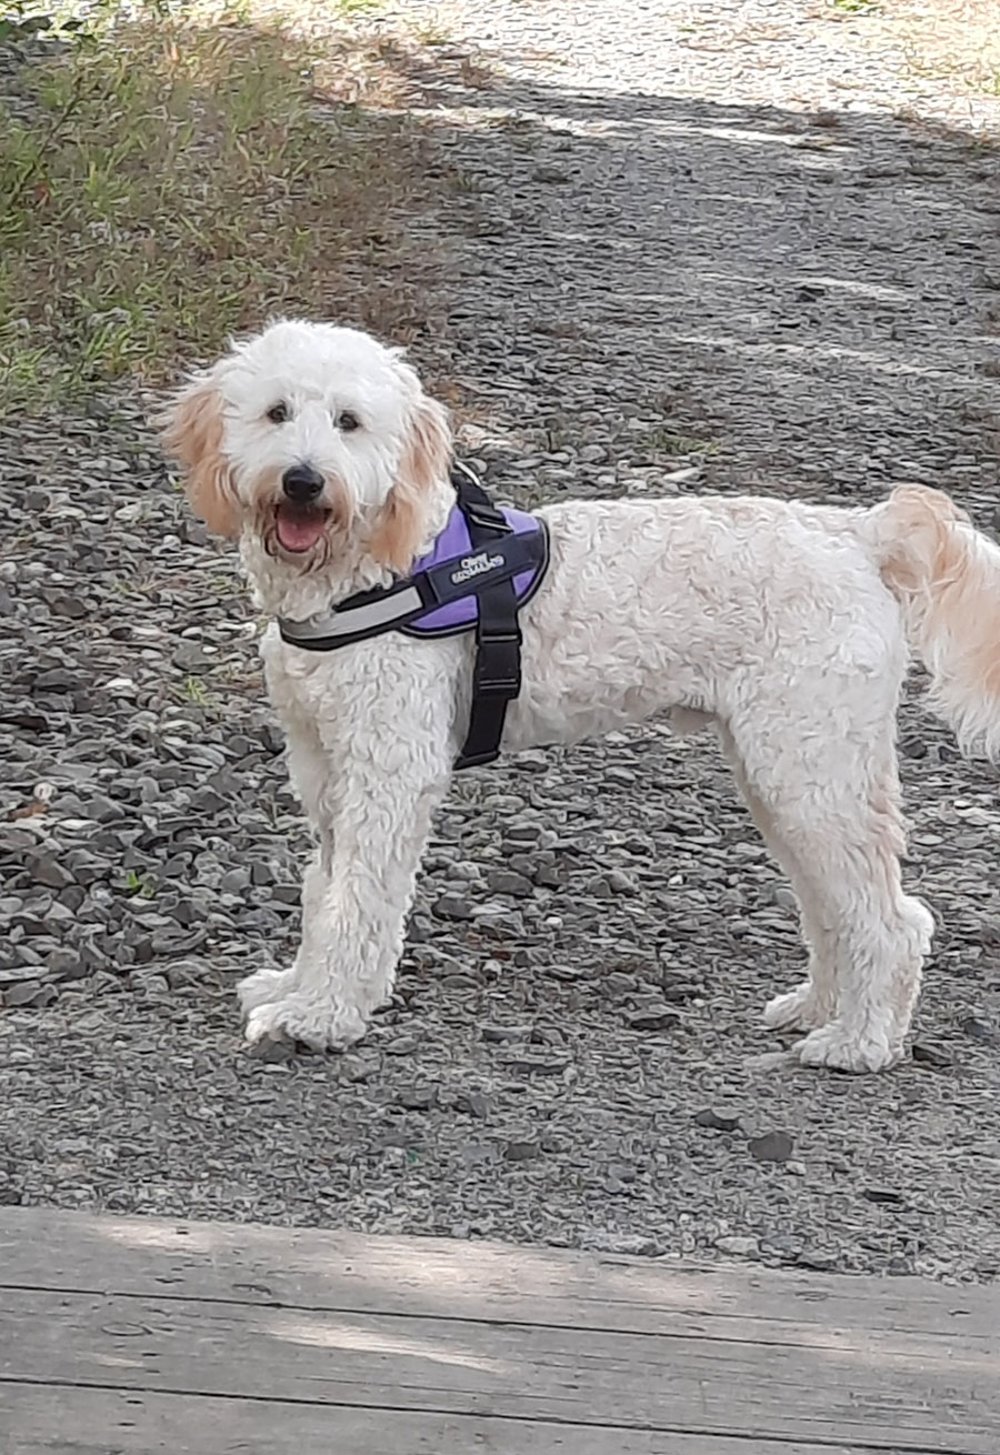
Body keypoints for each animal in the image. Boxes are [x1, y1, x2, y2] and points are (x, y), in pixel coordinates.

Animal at [160, 318, 1000, 1070]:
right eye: (276, 412)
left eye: (349, 423)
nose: (304, 480)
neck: (372, 571)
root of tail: (860, 535)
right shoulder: (323, 768)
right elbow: (321, 892)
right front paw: (298, 986)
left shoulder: (389, 769)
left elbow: (357, 901)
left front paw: (322, 1017)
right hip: (785, 773)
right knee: (832, 904)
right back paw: (819, 1006)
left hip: (814, 767)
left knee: (891, 919)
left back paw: (859, 1043)